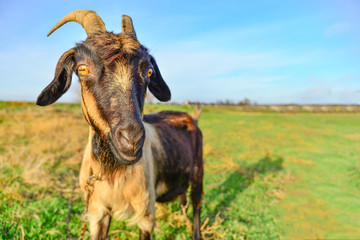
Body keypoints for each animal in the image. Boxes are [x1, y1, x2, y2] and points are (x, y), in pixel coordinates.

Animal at [37, 8, 205, 238]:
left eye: (149, 71)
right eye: (82, 69)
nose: (132, 140)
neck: (111, 174)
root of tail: (191, 117)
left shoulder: (145, 212)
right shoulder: (98, 212)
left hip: (198, 174)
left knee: (197, 205)